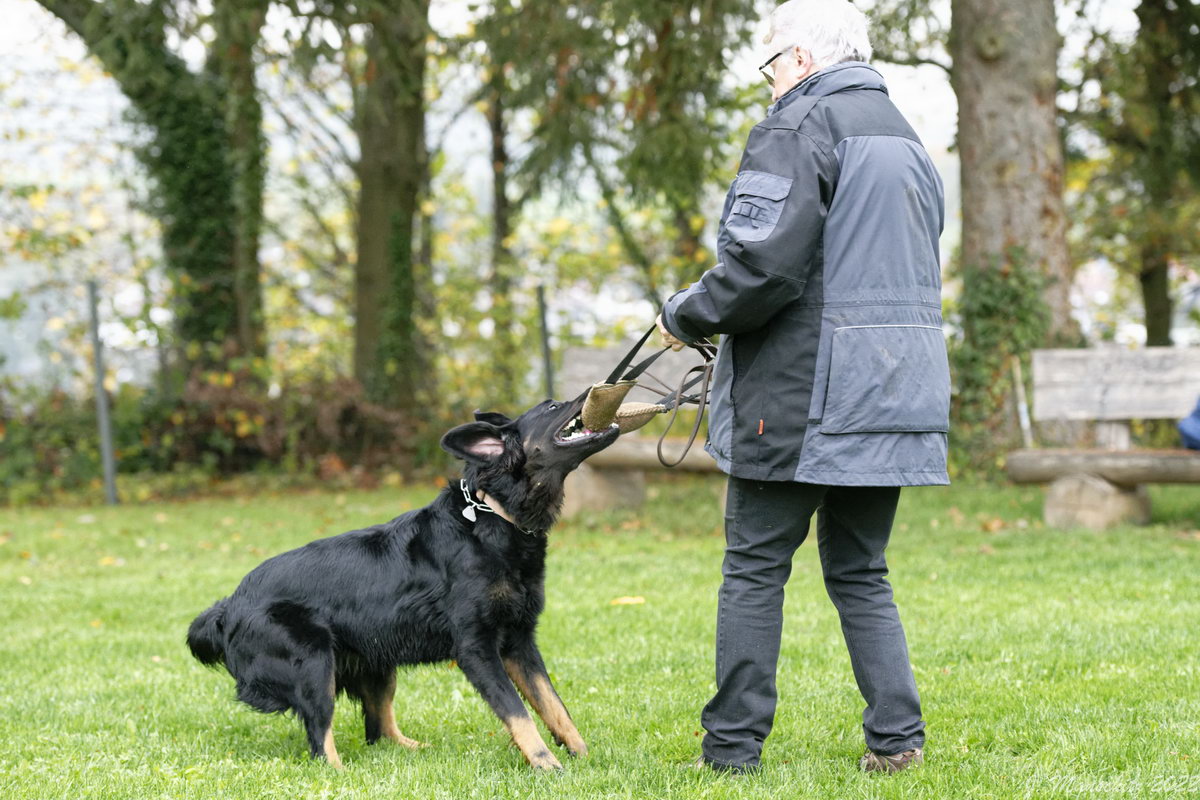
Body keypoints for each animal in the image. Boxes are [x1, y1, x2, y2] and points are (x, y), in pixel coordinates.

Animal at [189, 398, 619, 772]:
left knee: (379, 730)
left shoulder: (519, 643)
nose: (591, 393)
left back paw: (413, 750)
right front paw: (545, 763)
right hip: (314, 665)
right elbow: (518, 711)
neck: (492, 513)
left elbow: (553, 704)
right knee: (321, 740)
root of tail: (227, 608)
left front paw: (581, 754)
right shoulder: (476, 648)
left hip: (378, 665)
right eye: (552, 407)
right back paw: (341, 773)